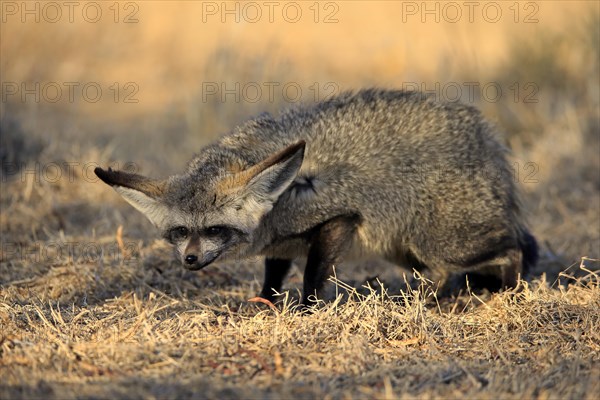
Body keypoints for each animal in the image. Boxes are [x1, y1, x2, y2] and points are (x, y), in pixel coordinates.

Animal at [95, 88, 540, 306]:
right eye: (179, 232)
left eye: (215, 229)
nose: (189, 260)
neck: (279, 202)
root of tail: (485, 135)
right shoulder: (282, 244)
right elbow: (273, 279)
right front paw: (265, 304)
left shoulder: (338, 218)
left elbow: (313, 275)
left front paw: (308, 309)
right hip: (412, 253)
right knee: (451, 272)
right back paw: (437, 298)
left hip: (442, 244)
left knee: (512, 248)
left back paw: (508, 292)